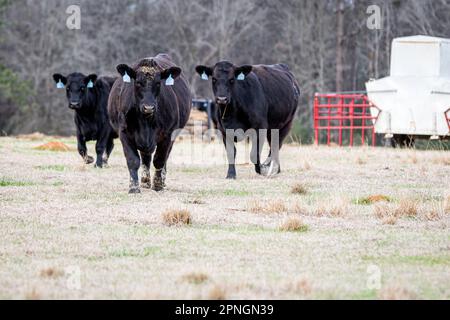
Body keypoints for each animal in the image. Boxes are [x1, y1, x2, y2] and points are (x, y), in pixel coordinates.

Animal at [110, 54, 192, 194]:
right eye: (138, 82)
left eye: (158, 83)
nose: (148, 107)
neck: (146, 121)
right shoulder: (124, 132)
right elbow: (133, 160)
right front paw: (134, 187)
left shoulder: (167, 134)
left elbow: (159, 159)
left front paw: (158, 185)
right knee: (145, 157)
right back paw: (144, 180)